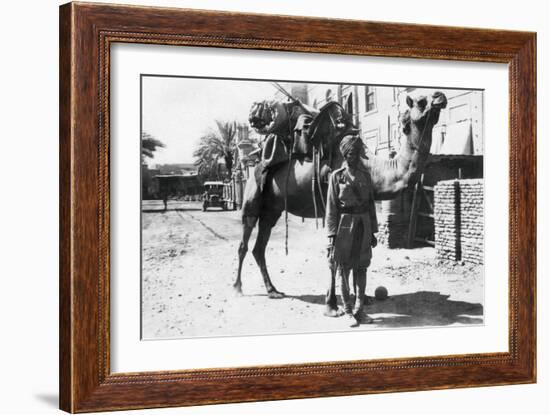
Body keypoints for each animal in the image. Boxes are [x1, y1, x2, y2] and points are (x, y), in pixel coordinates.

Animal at [233, 90, 448, 312]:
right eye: (421, 102)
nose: (440, 96)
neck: (372, 167)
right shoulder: (333, 207)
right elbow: (335, 257)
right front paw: (333, 303)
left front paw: (360, 298)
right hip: (253, 197)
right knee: (244, 242)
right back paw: (238, 288)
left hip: (272, 209)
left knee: (259, 247)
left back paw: (273, 290)